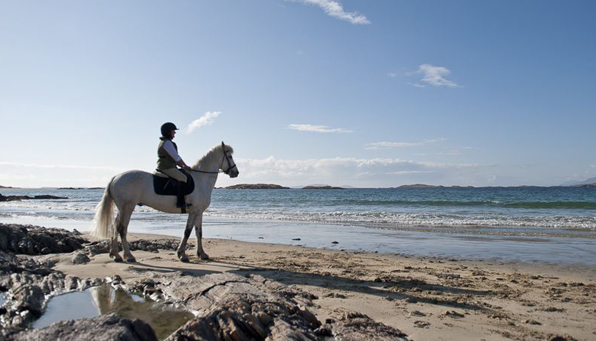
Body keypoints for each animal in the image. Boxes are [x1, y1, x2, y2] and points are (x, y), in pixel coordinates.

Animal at [91, 142, 237, 262]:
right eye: (229, 157)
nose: (236, 172)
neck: (201, 179)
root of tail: (115, 177)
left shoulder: (199, 212)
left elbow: (198, 232)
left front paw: (202, 254)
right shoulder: (193, 211)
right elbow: (187, 231)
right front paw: (182, 254)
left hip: (122, 209)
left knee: (115, 226)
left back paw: (115, 255)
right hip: (127, 208)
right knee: (122, 229)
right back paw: (129, 256)